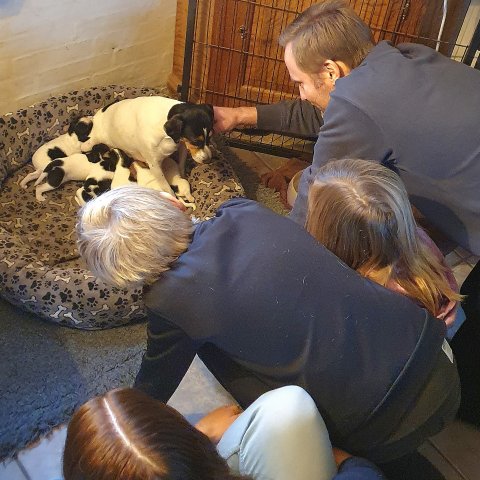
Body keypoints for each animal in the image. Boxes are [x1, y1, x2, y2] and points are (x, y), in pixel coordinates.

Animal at [79, 97, 214, 197]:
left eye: (210, 136)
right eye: (195, 141)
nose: (208, 160)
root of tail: (97, 116)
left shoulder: (182, 145)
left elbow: (181, 164)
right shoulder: (155, 166)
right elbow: (167, 188)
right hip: (89, 144)